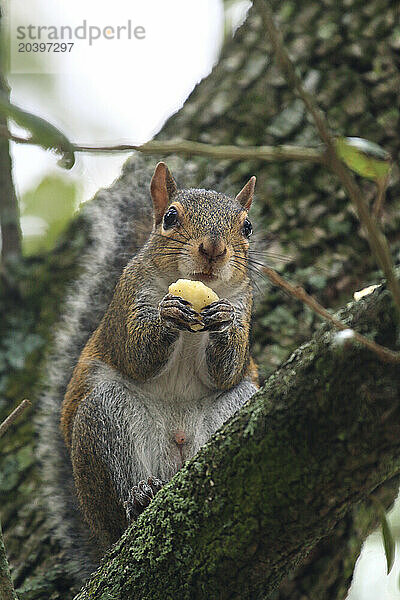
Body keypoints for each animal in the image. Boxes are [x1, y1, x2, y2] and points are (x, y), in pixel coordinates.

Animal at [36, 159, 256, 580]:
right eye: (170, 217)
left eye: (247, 227)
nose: (213, 249)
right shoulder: (128, 299)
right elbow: (137, 354)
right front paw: (167, 314)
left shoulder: (244, 304)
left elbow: (227, 370)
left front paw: (223, 323)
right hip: (105, 419)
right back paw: (139, 498)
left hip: (238, 404)